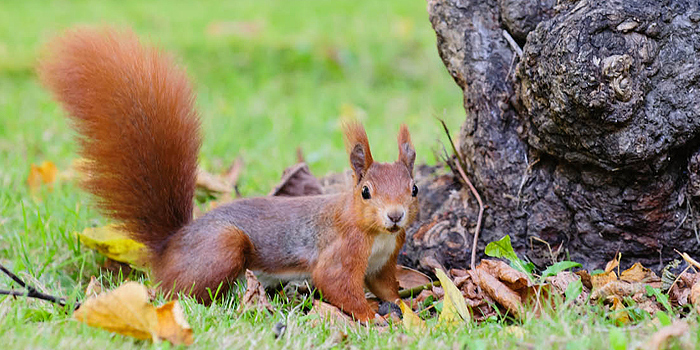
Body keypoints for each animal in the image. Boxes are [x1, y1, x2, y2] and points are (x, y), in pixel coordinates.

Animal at [38, 27, 418, 322]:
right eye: (366, 191)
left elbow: (386, 288)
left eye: (414, 189)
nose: (395, 215)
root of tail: (169, 246)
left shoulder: (383, 262)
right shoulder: (343, 249)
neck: (374, 232)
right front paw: (373, 317)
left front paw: (407, 311)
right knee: (179, 292)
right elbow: (336, 283)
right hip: (223, 246)